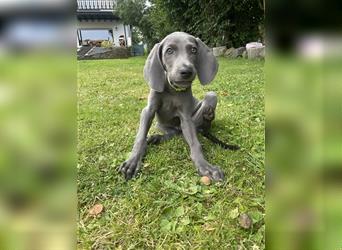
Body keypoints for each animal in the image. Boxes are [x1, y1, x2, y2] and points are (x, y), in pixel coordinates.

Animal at [119, 31, 236, 182]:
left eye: (194, 50)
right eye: (169, 51)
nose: (186, 71)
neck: (172, 89)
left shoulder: (185, 118)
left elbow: (195, 143)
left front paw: (206, 166)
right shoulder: (148, 111)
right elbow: (140, 137)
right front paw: (132, 162)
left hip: (210, 96)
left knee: (191, 129)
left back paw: (207, 117)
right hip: (160, 125)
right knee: (173, 132)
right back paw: (156, 138)